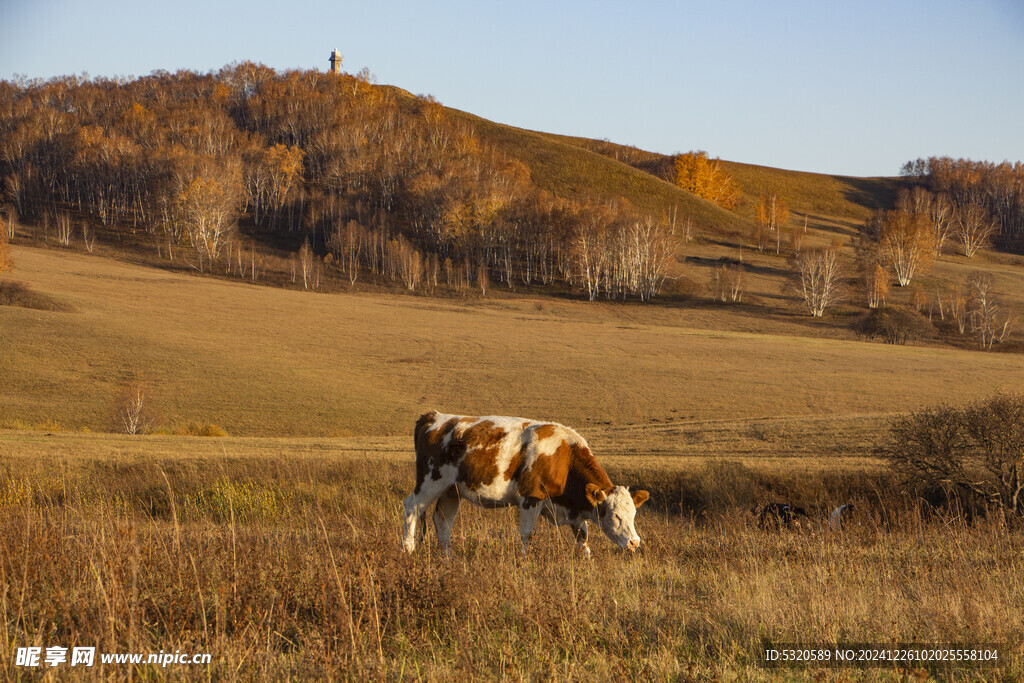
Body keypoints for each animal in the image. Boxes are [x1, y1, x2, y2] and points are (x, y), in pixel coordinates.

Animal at [399, 411, 647, 557]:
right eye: (615, 515)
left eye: (634, 514)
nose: (634, 543)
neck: (564, 458)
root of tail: (434, 416)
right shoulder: (531, 498)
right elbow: (528, 534)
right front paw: (525, 561)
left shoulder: (573, 509)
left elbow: (582, 537)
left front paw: (586, 561)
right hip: (430, 481)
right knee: (412, 507)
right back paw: (407, 549)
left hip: (451, 490)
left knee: (443, 520)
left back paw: (448, 557)